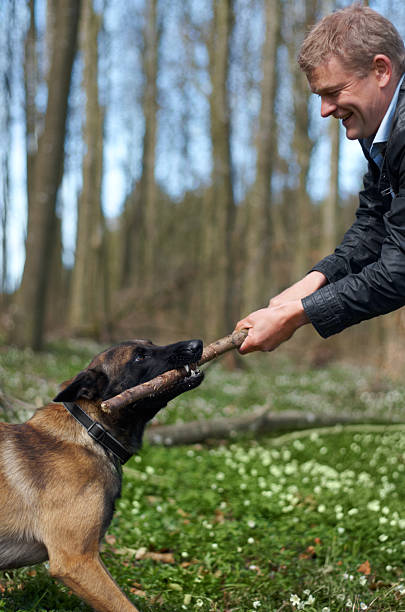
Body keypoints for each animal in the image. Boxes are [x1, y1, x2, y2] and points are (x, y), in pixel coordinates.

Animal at [0, 338, 202, 608]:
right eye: (139, 356)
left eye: (150, 343)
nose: (197, 344)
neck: (92, 432)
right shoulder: (76, 561)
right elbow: (124, 606)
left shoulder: (91, 557)